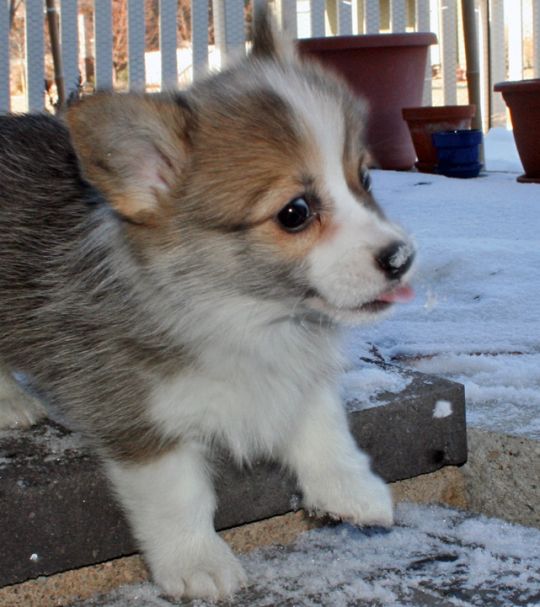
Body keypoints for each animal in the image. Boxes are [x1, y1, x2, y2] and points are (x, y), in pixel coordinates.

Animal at [0, 5, 414, 604]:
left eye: (365, 178)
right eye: (295, 212)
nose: (402, 258)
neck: (247, 316)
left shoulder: (297, 374)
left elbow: (323, 425)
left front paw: (351, 490)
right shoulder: (142, 420)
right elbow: (180, 496)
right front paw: (199, 564)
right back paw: (11, 401)